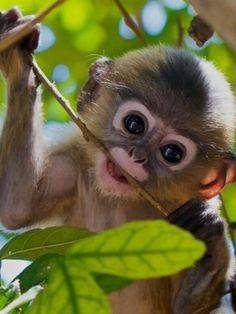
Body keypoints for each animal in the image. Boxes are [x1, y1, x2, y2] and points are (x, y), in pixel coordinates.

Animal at [0, 7, 236, 314]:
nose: (138, 156)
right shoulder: (74, 161)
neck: (122, 201)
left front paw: (210, 239)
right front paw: (17, 54)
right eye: (134, 124)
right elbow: (16, 204)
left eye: (172, 153)